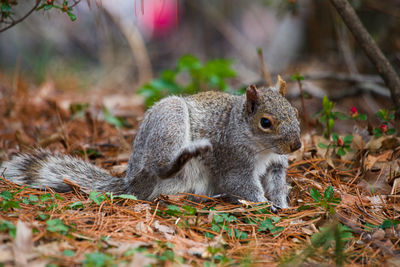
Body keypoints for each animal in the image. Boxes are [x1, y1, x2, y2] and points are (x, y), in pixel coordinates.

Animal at [0, 75, 300, 209]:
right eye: (265, 122)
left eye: (295, 112)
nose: (296, 146)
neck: (262, 149)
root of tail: (130, 183)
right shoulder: (233, 159)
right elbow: (242, 185)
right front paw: (265, 206)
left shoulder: (276, 165)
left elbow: (276, 183)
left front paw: (282, 205)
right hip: (169, 121)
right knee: (159, 168)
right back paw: (187, 155)